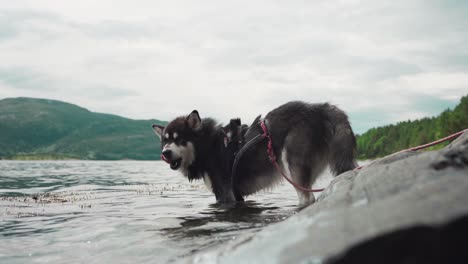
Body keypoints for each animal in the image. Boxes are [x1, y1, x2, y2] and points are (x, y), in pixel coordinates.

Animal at [152, 100, 356, 205]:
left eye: (179, 139)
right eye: (165, 141)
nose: (165, 153)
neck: (208, 146)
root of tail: (320, 107)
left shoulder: (225, 195)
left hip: (292, 165)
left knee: (307, 198)